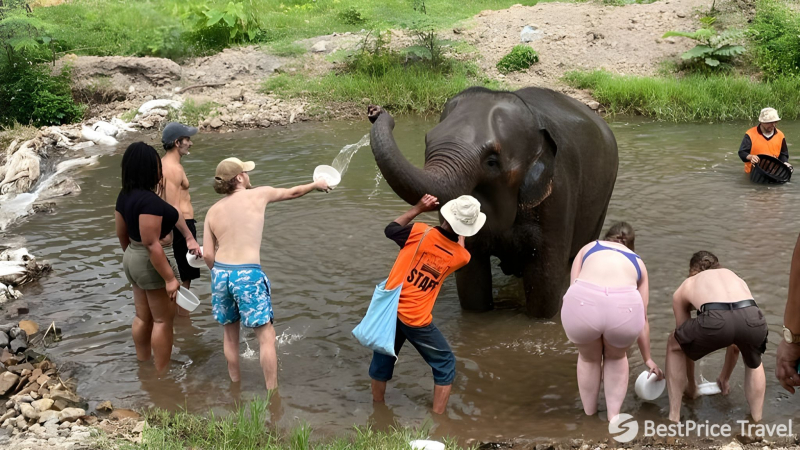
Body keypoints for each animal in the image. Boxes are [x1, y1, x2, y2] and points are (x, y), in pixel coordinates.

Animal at [368, 86, 618, 318]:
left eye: (491, 161)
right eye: (427, 142)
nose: (375, 111)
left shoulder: (558, 196)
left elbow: (545, 291)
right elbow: (471, 283)